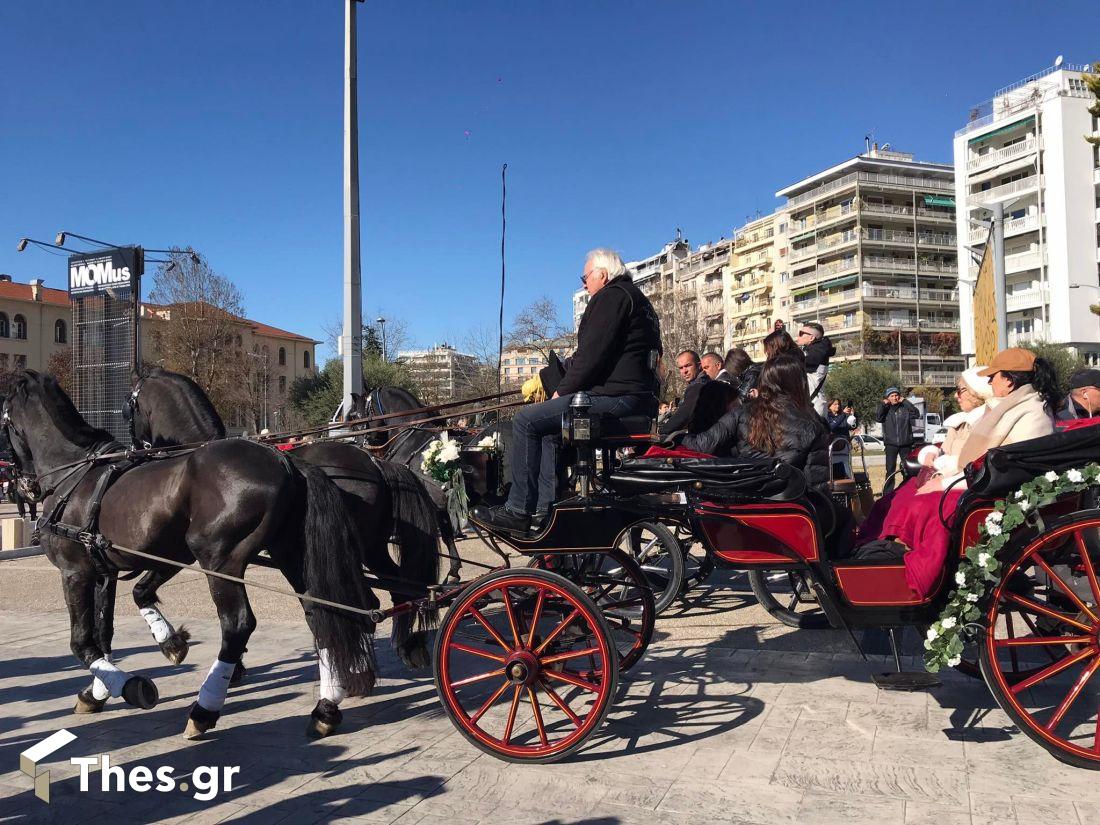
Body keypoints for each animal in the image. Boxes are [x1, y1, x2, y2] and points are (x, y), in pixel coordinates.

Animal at [4, 371, 380, 739]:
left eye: (4, 422)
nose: (23, 484)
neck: (75, 473)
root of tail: (287, 460)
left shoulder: (75, 572)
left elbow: (82, 641)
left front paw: (128, 685)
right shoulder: (127, 565)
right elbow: (111, 624)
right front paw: (115, 678)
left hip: (221, 560)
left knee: (238, 625)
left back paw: (205, 708)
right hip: (291, 554)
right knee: (322, 611)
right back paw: (327, 707)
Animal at [123, 367, 437, 673]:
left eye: (129, 407)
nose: (136, 448)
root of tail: (374, 463)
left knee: (364, 603)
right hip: (371, 549)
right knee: (398, 591)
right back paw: (406, 647)